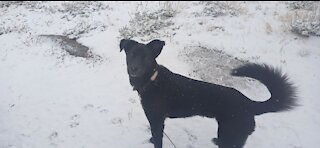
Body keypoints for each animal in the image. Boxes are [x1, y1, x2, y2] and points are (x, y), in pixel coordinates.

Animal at [120, 39, 298, 148]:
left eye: (146, 58)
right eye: (131, 55)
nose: (134, 69)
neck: (152, 79)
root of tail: (249, 103)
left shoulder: (157, 120)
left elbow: (158, 139)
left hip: (230, 136)